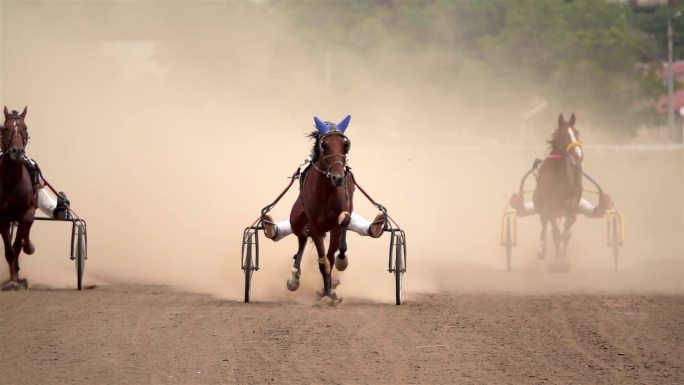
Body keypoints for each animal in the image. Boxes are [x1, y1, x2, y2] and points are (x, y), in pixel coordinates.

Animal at [286, 114, 356, 300]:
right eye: (324, 145)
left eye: (345, 145)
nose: (337, 178)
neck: (325, 193)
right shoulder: (315, 227)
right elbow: (323, 261)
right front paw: (326, 293)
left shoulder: (337, 223)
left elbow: (331, 257)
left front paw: (330, 290)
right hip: (296, 219)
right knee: (301, 237)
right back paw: (294, 277)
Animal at [532, 112, 584, 260]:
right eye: (562, 134)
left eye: (577, 132)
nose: (578, 155)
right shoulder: (548, 204)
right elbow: (554, 231)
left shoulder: (573, 199)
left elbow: (570, 218)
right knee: (544, 222)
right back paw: (542, 247)